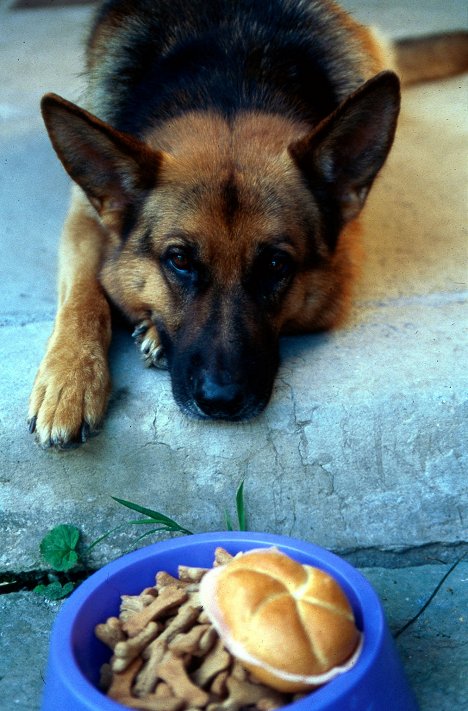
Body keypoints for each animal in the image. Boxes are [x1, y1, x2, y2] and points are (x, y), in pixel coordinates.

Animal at [29, 0, 468, 444]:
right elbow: (83, 295)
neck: (230, 81)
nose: (220, 401)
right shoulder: (83, 217)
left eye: (275, 264)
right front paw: (69, 380)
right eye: (179, 260)